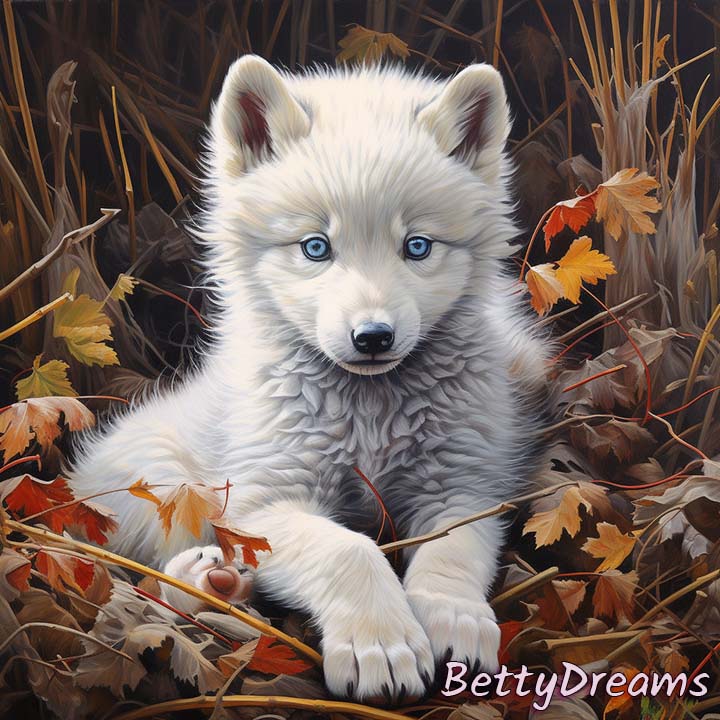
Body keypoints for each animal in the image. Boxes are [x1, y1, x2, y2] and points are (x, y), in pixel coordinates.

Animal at [68, 55, 549, 703]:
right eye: (316, 247)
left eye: (417, 246)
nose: (373, 337)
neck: (370, 415)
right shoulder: (259, 501)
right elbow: (349, 548)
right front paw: (381, 646)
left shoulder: (462, 486)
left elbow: (453, 551)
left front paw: (456, 619)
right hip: (161, 478)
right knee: (154, 571)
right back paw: (210, 581)